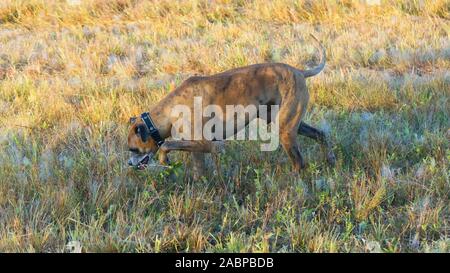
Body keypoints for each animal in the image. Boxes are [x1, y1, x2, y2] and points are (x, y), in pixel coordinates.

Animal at [128, 34, 336, 176]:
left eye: (133, 149)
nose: (129, 164)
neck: (171, 110)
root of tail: (300, 71)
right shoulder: (197, 149)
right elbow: (198, 171)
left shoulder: (206, 144)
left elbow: (166, 145)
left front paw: (164, 158)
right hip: (289, 123)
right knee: (321, 135)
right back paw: (331, 161)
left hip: (285, 130)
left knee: (299, 162)